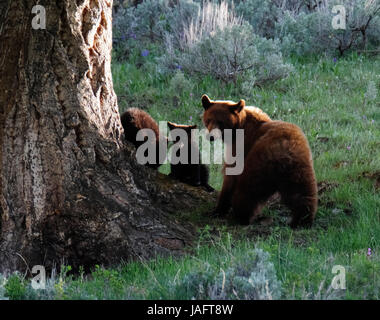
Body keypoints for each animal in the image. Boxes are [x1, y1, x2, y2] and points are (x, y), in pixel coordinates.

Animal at [202, 94, 318, 229]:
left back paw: (242, 216)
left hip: (258, 164)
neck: (239, 127)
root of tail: (283, 150)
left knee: (247, 190)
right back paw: (303, 220)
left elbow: (230, 176)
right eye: (209, 120)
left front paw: (218, 209)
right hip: (300, 168)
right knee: (303, 194)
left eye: (221, 122)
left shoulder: (241, 147)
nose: (210, 137)